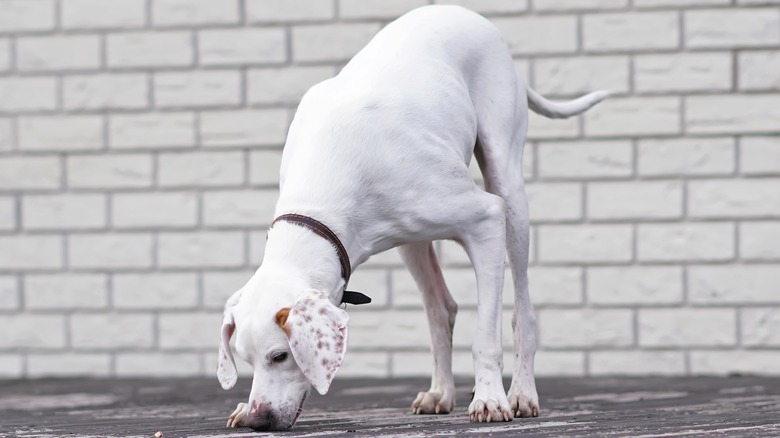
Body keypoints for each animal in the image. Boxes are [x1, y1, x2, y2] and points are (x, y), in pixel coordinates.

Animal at [215, 5, 608, 432]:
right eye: (246, 359)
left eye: (280, 356)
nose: (259, 418)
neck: (322, 199)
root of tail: (469, 14)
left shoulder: (486, 221)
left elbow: (485, 337)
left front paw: (489, 398)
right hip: (412, 243)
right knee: (441, 310)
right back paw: (441, 393)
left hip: (509, 192)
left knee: (523, 313)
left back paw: (521, 393)